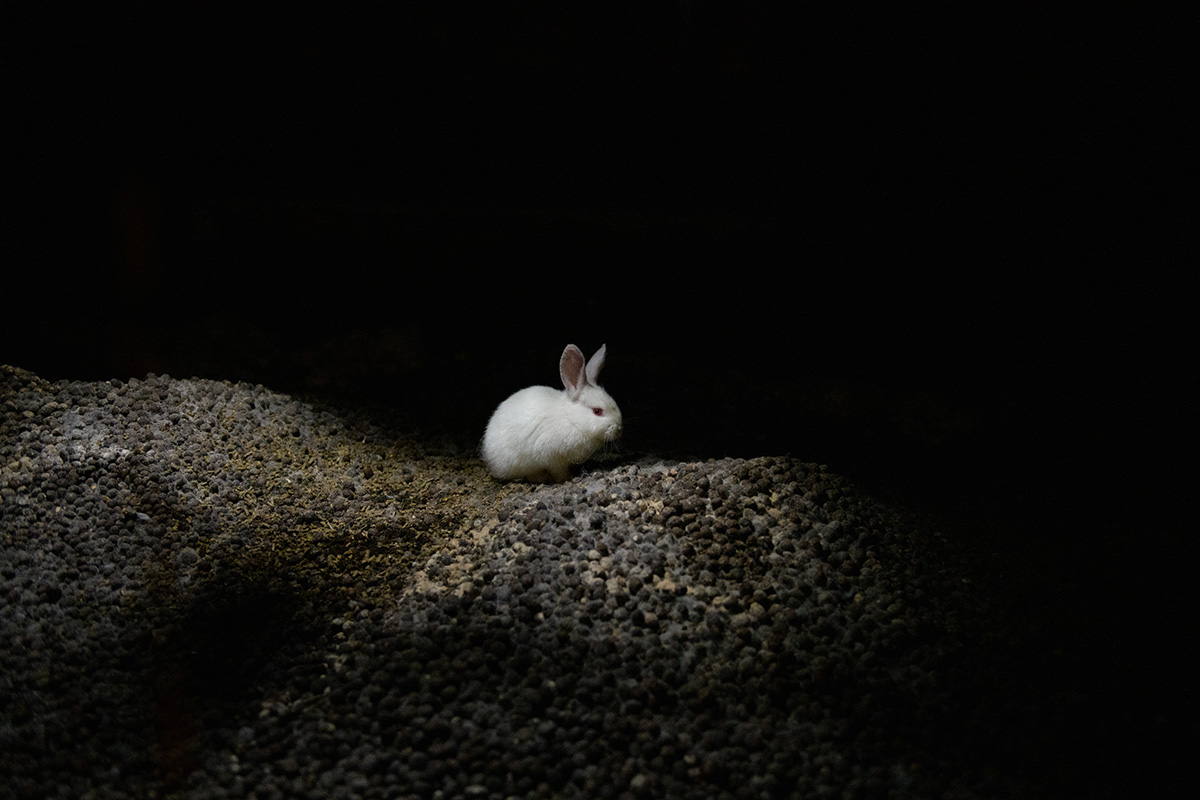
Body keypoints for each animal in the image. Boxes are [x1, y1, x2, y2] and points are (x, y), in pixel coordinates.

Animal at [482, 343, 623, 482]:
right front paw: (568, 478)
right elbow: (559, 472)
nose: (619, 428)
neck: (571, 419)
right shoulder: (553, 459)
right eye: (597, 411)